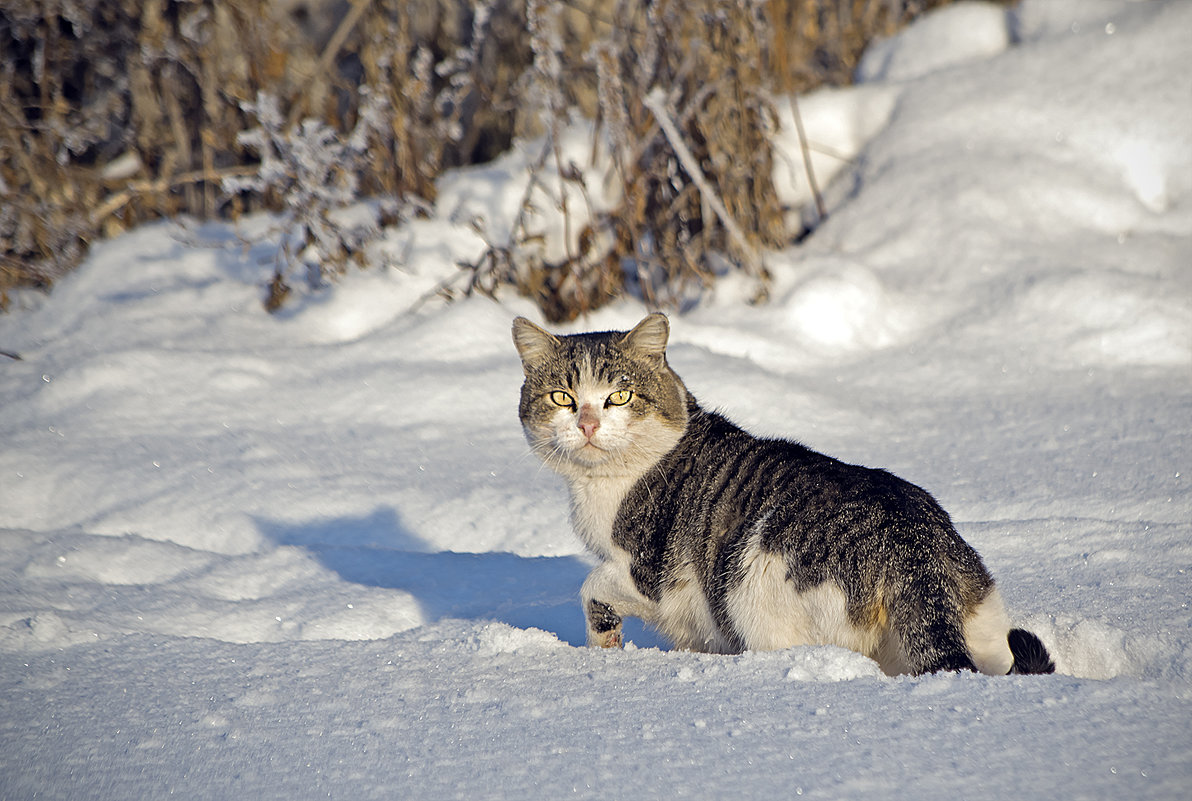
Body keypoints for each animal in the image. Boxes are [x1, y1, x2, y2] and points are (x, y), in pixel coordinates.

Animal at [510, 312, 1053, 677]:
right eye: (562, 397)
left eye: (618, 396)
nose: (587, 423)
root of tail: (908, 543)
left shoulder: (647, 573)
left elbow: (591, 586)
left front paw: (604, 644)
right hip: (981, 616)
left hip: (752, 582)